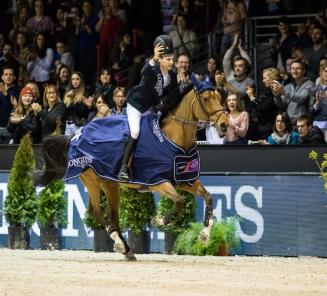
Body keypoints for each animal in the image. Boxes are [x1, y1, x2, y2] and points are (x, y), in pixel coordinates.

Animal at [35, 79, 228, 262]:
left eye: (219, 98)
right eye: (206, 99)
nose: (225, 124)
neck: (174, 138)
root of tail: (77, 135)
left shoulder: (184, 181)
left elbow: (208, 197)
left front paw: (204, 235)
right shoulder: (158, 182)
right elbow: (180, 201)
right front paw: (159, 220)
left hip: (110, 184)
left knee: (110, 216)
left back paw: (126, 250)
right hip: (93, 180)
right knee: (96, 212)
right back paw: (120, 244)